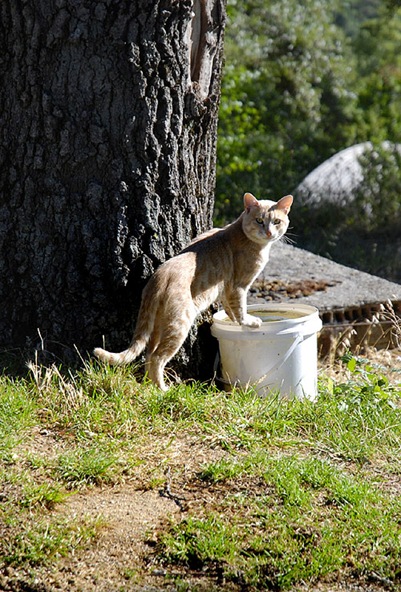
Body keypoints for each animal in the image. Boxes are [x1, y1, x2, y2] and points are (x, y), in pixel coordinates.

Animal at [94, 192, 293, 391]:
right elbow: (240, 308)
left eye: (276, 221)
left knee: (149, 355)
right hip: (179, 324)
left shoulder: (226, 288)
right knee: (157, 357)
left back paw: (152, 385)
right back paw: (163, 390)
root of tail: (158, 277)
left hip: (158, 325)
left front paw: (234, 321)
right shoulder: (239, 285)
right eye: (259, 220)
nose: (269, 232)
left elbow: (230, 308)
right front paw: (249, 322)